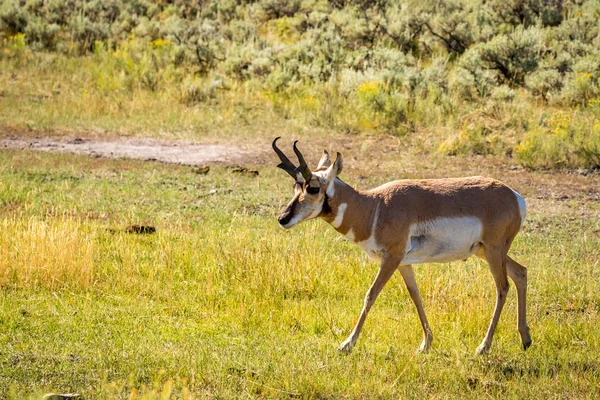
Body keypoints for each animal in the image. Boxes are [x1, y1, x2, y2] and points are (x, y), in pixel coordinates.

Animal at [272, 137, 528, 354]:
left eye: (313, 188)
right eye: (295, 187)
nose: (282, 218)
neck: (374, 207)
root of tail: (515, 197)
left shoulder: (391, 259)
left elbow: (370, 294)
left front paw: (347, 344)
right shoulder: (404, 263)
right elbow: (415, 295)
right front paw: (426, 344)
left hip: (493, 252)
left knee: (502, 287)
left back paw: (483, 347)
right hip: (486, 251)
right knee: (520, 272)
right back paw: (525, 339)